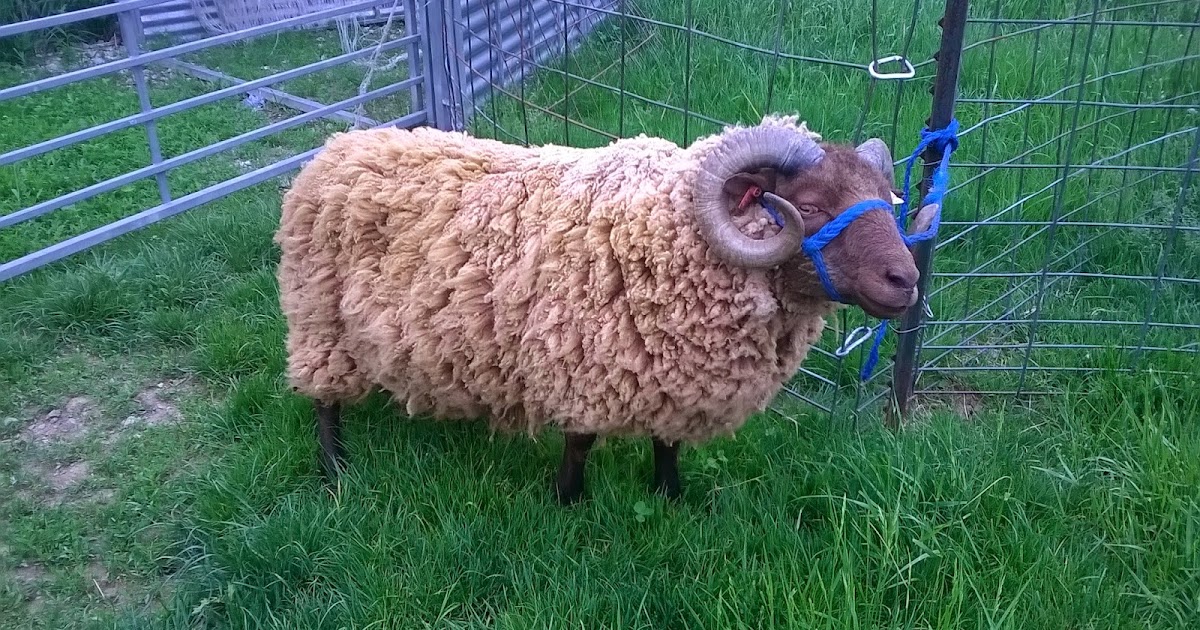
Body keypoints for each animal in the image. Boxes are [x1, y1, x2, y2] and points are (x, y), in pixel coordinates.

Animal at [274, 114, 938, 504]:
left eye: (887, 199)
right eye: (812, 205)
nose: (906, 280)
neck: (669, 237)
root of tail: (335, 148)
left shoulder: (679, 375)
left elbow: (668, 444)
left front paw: (670, 496)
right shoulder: (580, 360)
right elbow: (581, 443)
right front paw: (568, 501)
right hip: (319, 317)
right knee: (323, 400)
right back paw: (335, 471)